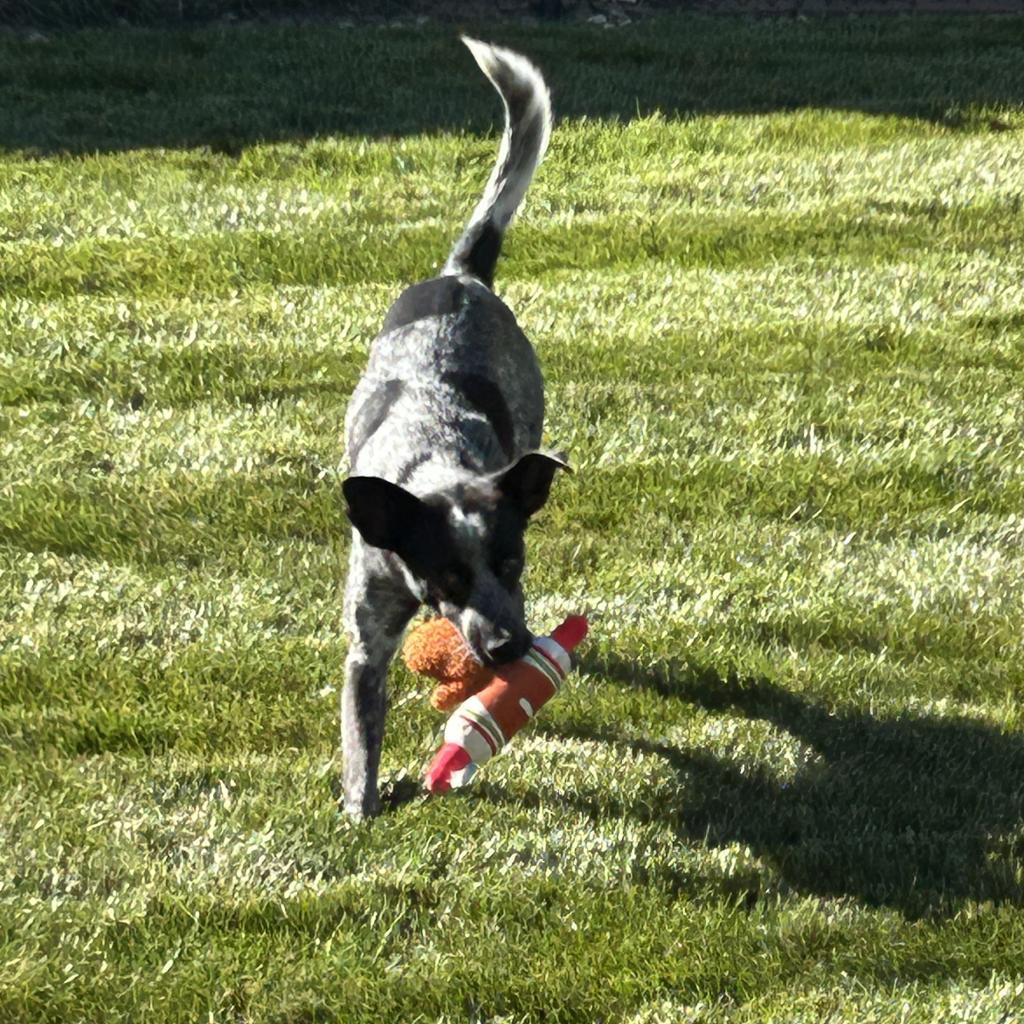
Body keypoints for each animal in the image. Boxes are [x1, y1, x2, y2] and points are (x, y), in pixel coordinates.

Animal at [342, 39, 569, 819]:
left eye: (512, 562)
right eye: (445, 575)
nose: (505, 649)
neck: (433, 460)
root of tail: (460, 275)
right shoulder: (368, 632)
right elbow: (361, 731)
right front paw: (360, 811)